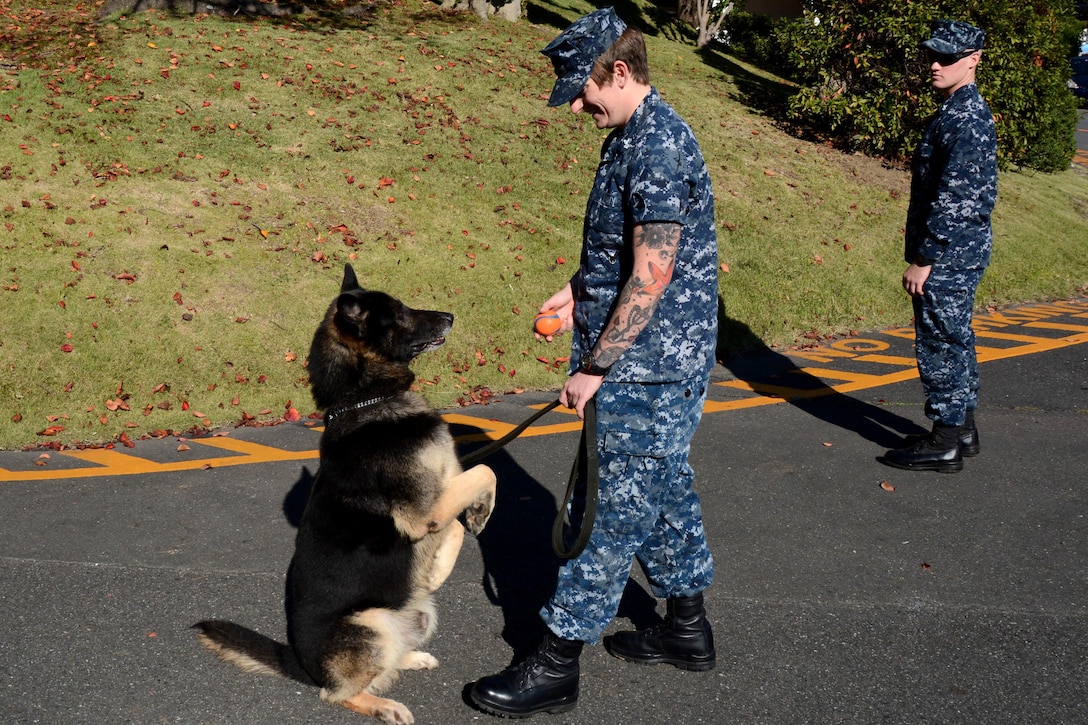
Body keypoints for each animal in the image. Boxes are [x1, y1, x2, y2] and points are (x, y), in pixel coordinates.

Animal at [195, 265, 498, 722]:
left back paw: (410, 659)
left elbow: (465, 515)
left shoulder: (437, 501)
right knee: (339, 693)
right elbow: (486, 470)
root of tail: (302, 665)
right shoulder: (422, 512)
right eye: (400, 312)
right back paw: (384, 706)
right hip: (368, 626)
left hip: (416, 614)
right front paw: (475, 521)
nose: (450, 316)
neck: (364, 399)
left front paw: (453, 549)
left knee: (383, 665)